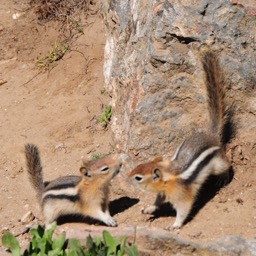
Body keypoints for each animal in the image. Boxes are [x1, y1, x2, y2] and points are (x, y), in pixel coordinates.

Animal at [129, 51, 235, 230]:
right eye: (138, 166)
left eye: (138, 178)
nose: (127, 176)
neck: (167, 176)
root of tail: (211, 135)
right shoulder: (163, 192)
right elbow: (157, 201)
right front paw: (149, 209)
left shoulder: (182, 195)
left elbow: (184, 209)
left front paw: (175, 225)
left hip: (218, 163)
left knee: (226, 165)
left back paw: (224, 176)